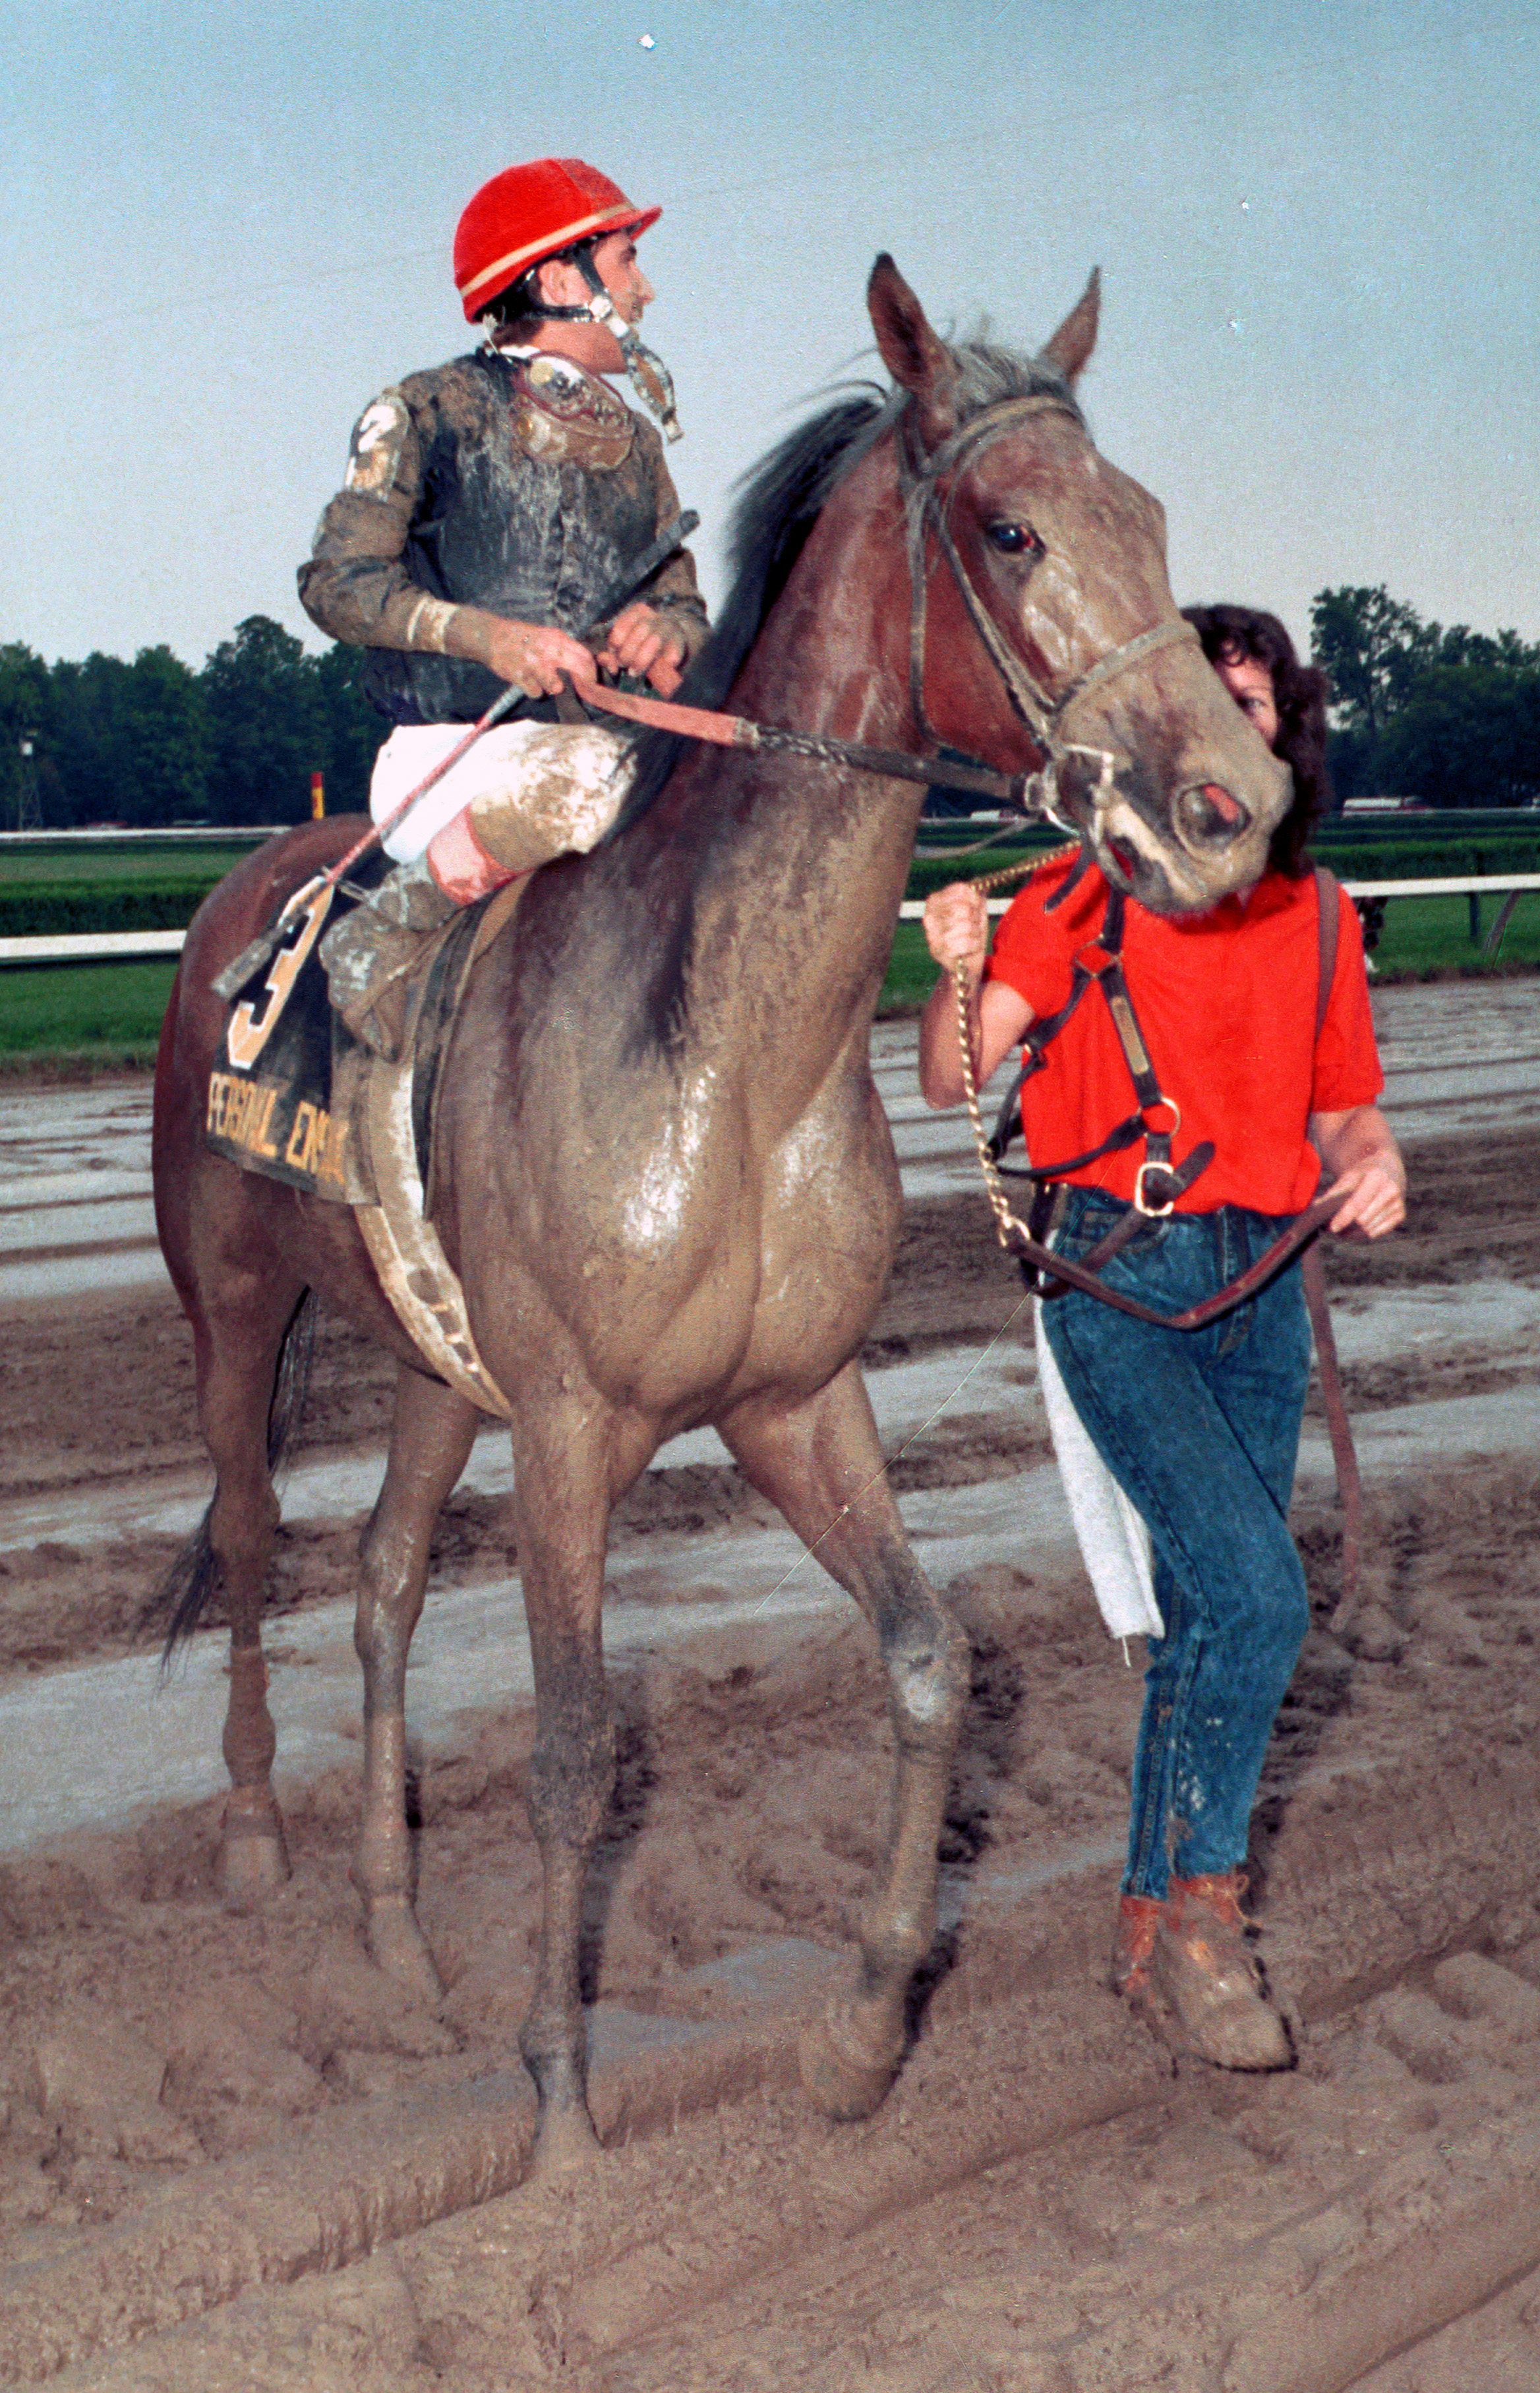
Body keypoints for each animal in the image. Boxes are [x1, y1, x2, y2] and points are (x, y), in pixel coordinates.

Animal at [153, 257, 1291, 2173]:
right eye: (1010, 528)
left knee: (381, 1587)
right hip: (236, 1306)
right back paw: (248, 1837)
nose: (1231, 808)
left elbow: (928, 1661)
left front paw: (862, 2026)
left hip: (430, 1362)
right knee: (251, 1538)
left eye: (1140, 513)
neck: (728, 1050)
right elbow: (570, 1750)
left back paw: (396, 1935)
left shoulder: (790, 1397)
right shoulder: (569, 1428)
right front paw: (557, 2101)